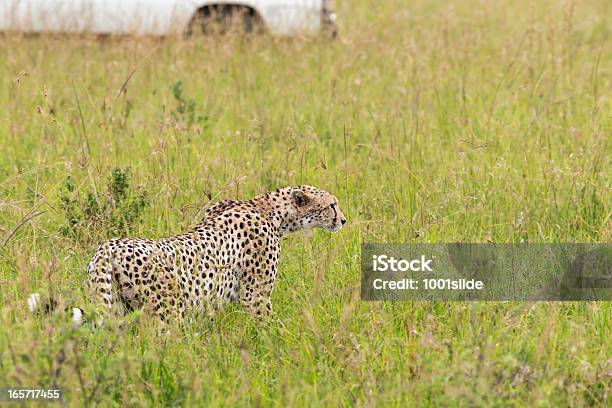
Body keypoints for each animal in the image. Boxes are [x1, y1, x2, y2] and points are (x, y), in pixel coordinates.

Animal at [71, 186, 344, 322]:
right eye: (332, 205)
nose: (343, 220)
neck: (269, 211)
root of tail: (110, 245)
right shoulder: (255, 296)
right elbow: (269, 326)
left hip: (118, 310)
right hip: (167, 312)